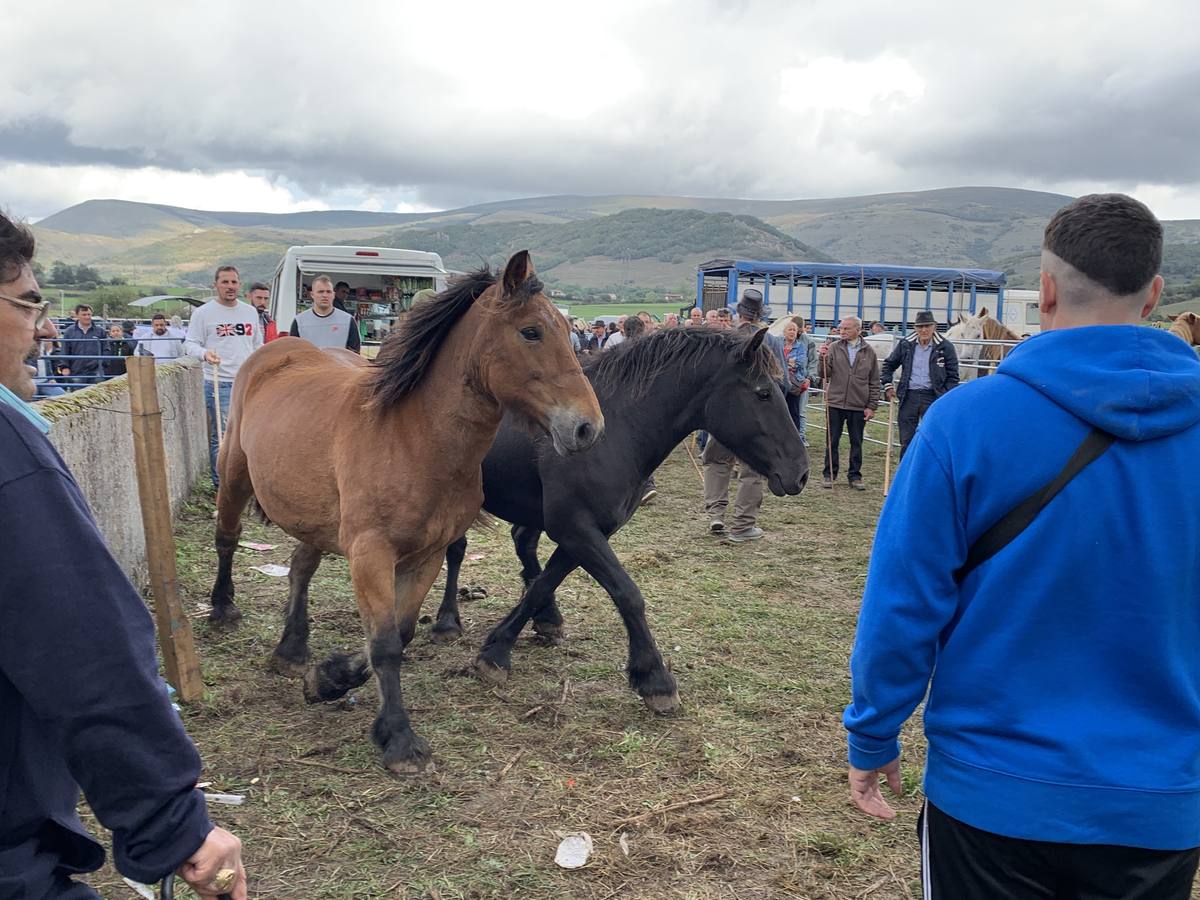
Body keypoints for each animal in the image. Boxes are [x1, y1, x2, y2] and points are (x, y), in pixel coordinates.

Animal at [207, 254, 604, 777]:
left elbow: (403, 630)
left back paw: (292, 649)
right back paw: (223, 609)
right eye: (532, 332)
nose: (587, 427)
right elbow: (385, 644)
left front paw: (329, 678)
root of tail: (277, 352)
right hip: (234, 476)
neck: (413, 437)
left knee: (299, 568)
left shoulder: (426, 555)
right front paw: (398, 738)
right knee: (227, 539)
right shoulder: (370, 554)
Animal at [436, 328, 811, 715]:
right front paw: (655, 678)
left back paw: (545, 619)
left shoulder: (588, 532)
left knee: (519, 544)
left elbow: (544, 584)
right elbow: (628, 594)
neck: (617, 430)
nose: (800, 473)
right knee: (457, 550)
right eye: (763, 393)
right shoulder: (575, 529)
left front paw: (499, 647)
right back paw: (446, 621)